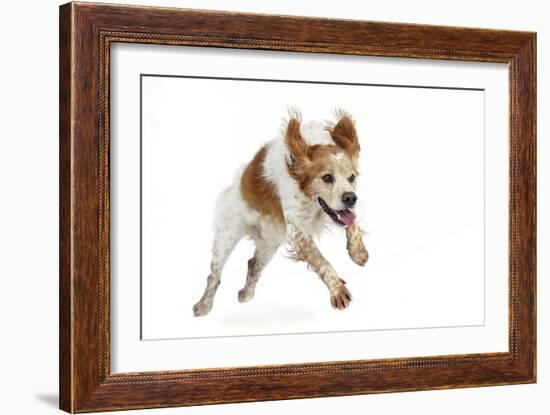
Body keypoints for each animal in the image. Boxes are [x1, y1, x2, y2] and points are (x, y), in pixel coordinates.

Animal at [194, 110, 370, 318]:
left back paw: (246, 294)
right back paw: (203, 306)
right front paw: (338, 291)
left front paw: (358, 252)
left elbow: (353, 226)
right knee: (214, 276)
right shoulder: (298, 232)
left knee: (253, 264)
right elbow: (322, 262)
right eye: (327, 178)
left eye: (352, 178)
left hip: (268, 245)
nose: (351, 198)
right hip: (226, 238)